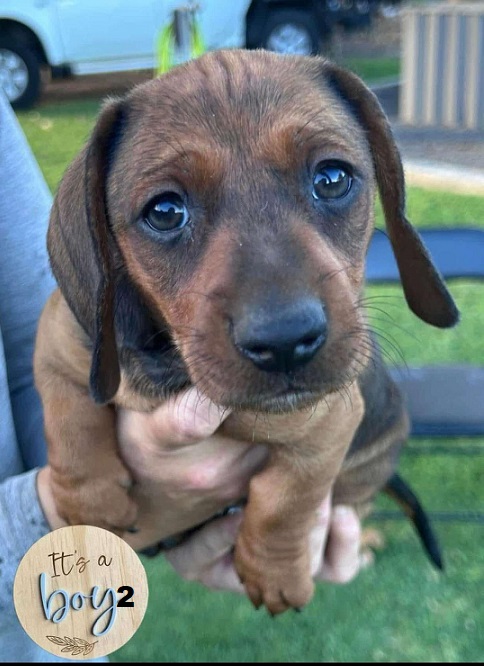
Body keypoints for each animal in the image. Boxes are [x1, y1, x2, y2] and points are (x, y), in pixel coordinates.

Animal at [34, 49, 458, 616]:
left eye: (332, 178)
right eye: (164, 211)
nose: (285, 342)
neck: (175, 368)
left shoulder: (330, 422)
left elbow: (286, 496)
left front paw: (275, 571)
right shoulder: (60, 337)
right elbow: (68, 409)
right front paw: (88, 497)